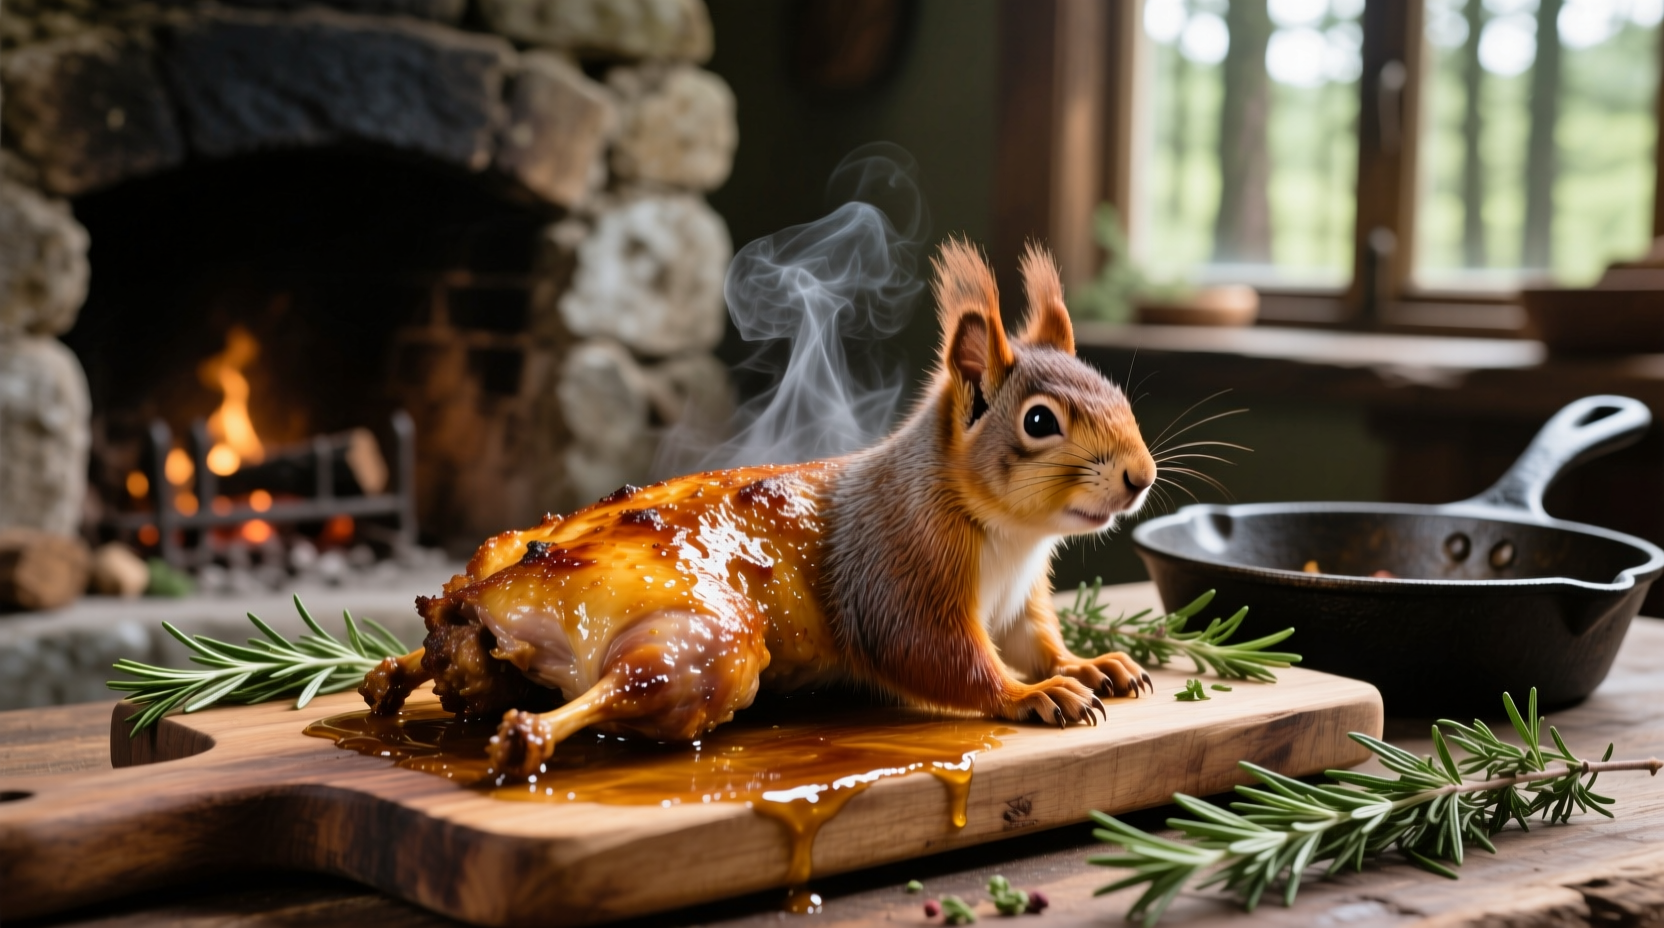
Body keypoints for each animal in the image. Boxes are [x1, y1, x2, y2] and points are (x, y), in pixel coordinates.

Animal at [359, 240, 1158, 777]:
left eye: (1117, 393)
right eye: (1039, 422)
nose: (1141, 477)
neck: (1007, 536)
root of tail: (493, 595)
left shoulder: (1020, 602)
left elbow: (1037, 640)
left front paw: (1090, 664)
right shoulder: (899, 565)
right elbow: (938, 655)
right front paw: (1033, 694)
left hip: (496, 583)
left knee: (446, 650)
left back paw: (394, 674)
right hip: (714, 643)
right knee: (624, 684)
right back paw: (530, 733)